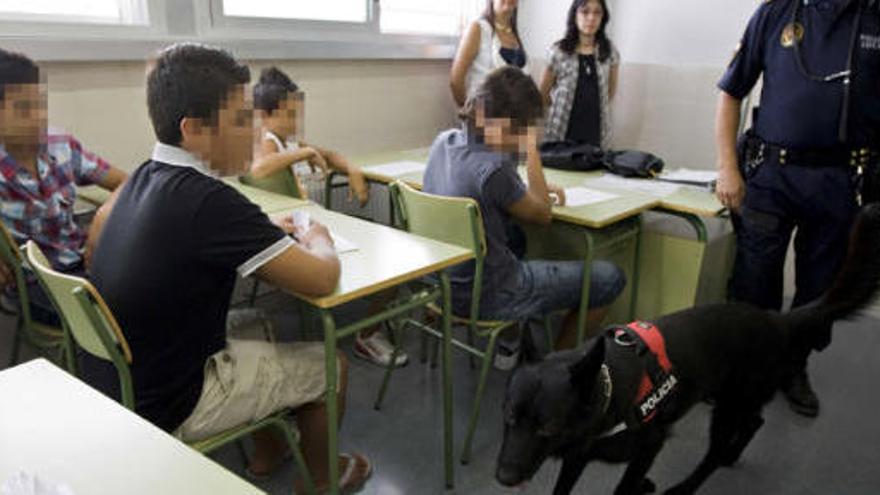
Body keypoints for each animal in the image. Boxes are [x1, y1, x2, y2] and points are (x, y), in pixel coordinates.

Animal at [496, 203, 880, 494]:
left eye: (547, 429)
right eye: (509, 418)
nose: (503, 478)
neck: (609, 388)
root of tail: (777, 320)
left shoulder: (648, 447)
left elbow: (625, 486)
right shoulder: (577, 457)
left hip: (727, 408)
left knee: (713, 454)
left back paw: (687, 485)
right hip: (732, 399)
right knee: (754, 421)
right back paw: (731, 455)